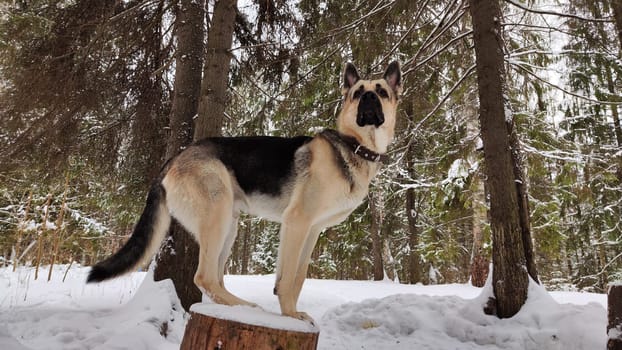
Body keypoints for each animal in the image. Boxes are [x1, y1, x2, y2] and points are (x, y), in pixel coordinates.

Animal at [89, 60, 404, 322]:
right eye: (358, 93)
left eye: (382, 92)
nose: (369, 98)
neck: (354, 147)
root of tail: (175, 159)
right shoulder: (297, 222)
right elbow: (288, 278)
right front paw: (291, 314)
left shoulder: (312, 230)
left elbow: (297, 276)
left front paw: (290, 310)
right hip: (217, 214)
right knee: (204, 277)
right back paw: (247, 307)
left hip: (229, 223)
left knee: (216, 278)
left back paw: (238, 307)